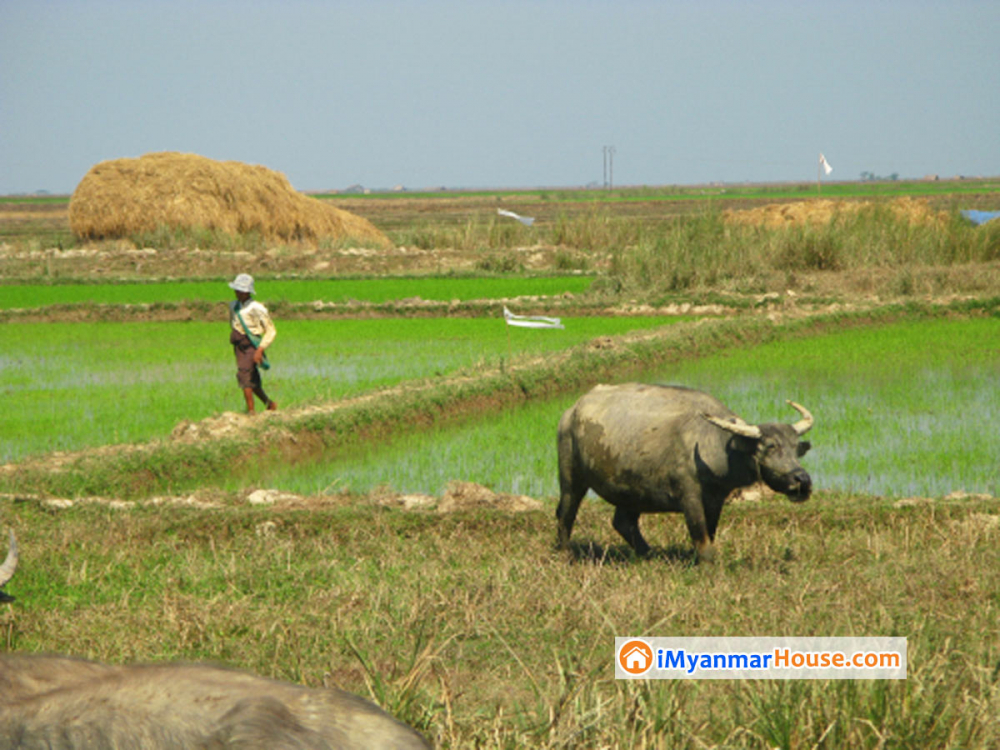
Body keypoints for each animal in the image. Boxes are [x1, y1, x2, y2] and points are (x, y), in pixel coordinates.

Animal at [556, 384, 812, 560]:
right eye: (770, 446)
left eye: (794, 448)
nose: (802, 480)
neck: (715, 446)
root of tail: (571, 411)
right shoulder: (689, 498)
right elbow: (701, 537)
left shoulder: (715, 501)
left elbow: (710, 534)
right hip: (571, 479)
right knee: (566, 514)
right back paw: (565, 553)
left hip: (631, 490)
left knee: (623, 522)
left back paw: (649, 554)